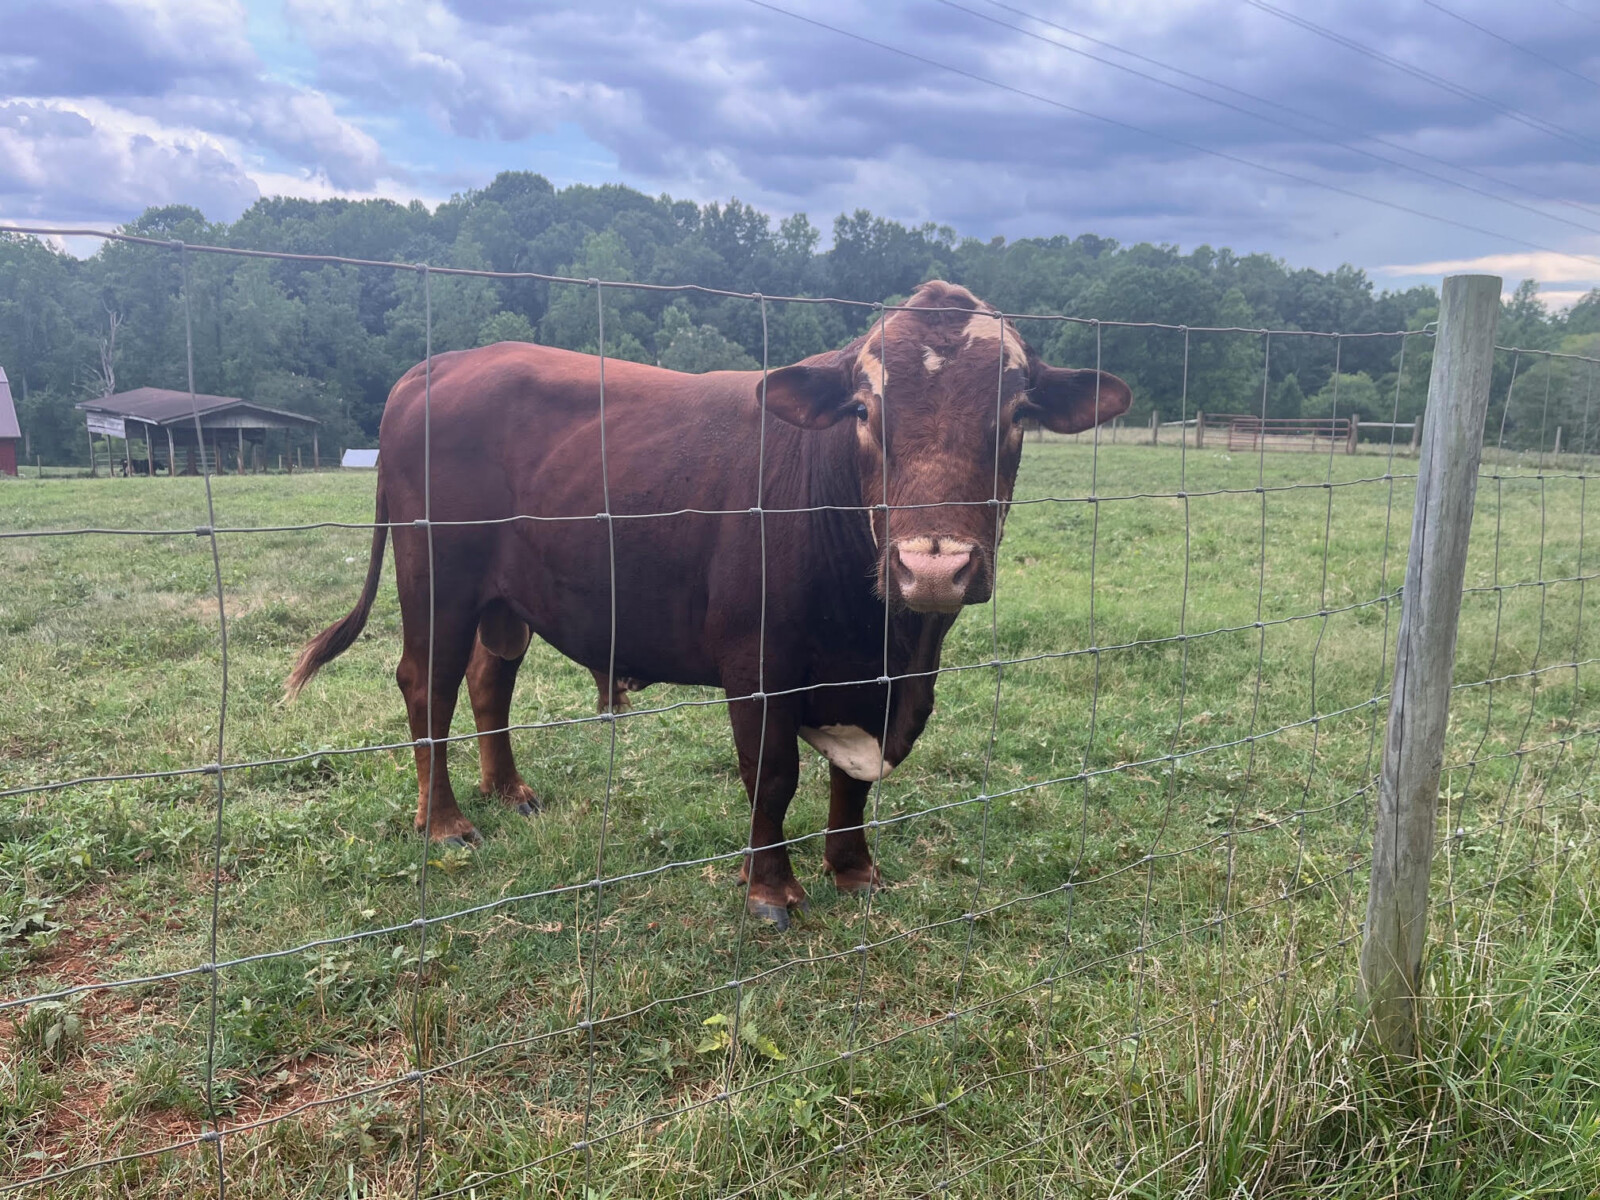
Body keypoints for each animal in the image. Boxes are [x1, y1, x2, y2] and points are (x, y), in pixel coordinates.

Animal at [286, 281, 1131, 928]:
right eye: (863, 410)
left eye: (1016, 415)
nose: (932, 566)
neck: (888, 644)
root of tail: (443, 364)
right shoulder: (757, 663)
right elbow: (773, 774)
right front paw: (770, 889)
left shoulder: (879, 687)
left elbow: (851, 783)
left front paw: (854, 870)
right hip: (438, 582)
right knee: (426, 684)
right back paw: (446, 821)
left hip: (510, 597)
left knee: (490, 679)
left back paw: (509, 791)